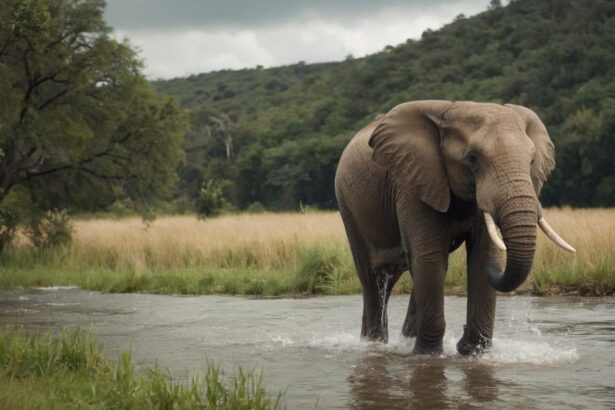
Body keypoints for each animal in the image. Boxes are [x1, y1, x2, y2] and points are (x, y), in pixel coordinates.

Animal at [334, 100, 576, 356]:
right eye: (472, 158)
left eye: (531, 161)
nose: (462, 335)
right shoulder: (413, 183)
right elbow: (430, 257)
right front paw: (428, 355)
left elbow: (482, 255)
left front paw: (472, 352)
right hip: (347, 204)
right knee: (373, 277)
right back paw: (374, 345)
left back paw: (401, 341)